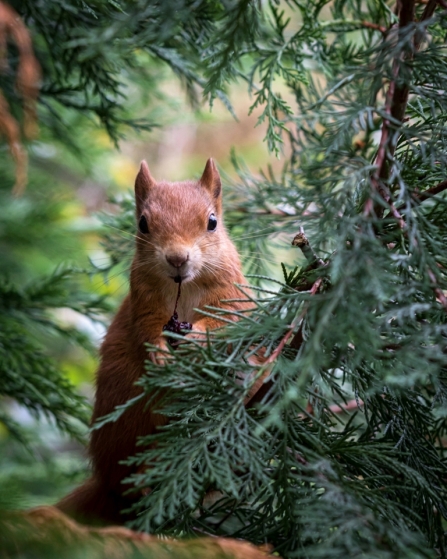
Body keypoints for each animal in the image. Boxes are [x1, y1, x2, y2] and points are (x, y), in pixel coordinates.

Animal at [57, 158, 252, 524]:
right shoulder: (144, 302)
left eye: (212, 222)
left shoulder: (231, 294)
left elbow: (225, 321)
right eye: (143, 224)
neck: (184, 288)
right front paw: (160, 353)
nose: (177, 259)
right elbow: (146, 330)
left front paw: (197, 337)